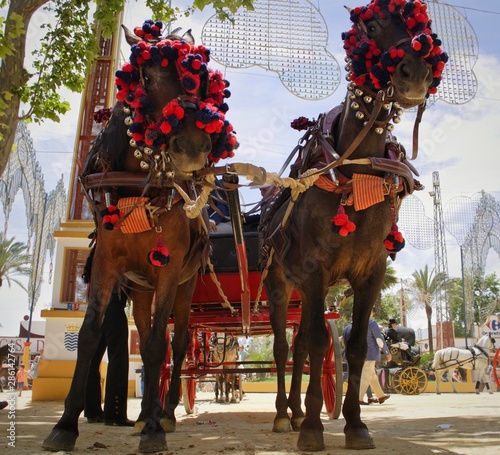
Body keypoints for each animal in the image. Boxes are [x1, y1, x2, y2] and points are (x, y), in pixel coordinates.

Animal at [43, 19, 238, 454]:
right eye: (145, 77)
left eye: (201, 81)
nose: (193, 147)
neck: (138, 185)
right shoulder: (106, 263)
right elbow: (90, 334)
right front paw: (65, 424)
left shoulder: (169, 272)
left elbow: (156, 347)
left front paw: (154, 429)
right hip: (141, 289)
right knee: (151, 336)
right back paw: (145, 413)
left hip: (184, 287)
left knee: (176, 345)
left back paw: (163, 413)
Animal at [260, 0, 448, 452]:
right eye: (373, 24)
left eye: (424, 25)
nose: (417, 70)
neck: (354, 172)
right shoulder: (313, 273)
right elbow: (316, 341)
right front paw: (313, 428)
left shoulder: (371, 274)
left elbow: (357, 346)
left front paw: (354, 425)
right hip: (280, 286)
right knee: (283, 348)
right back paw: (283, 415)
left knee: (301, 349)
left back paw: (295, 411)